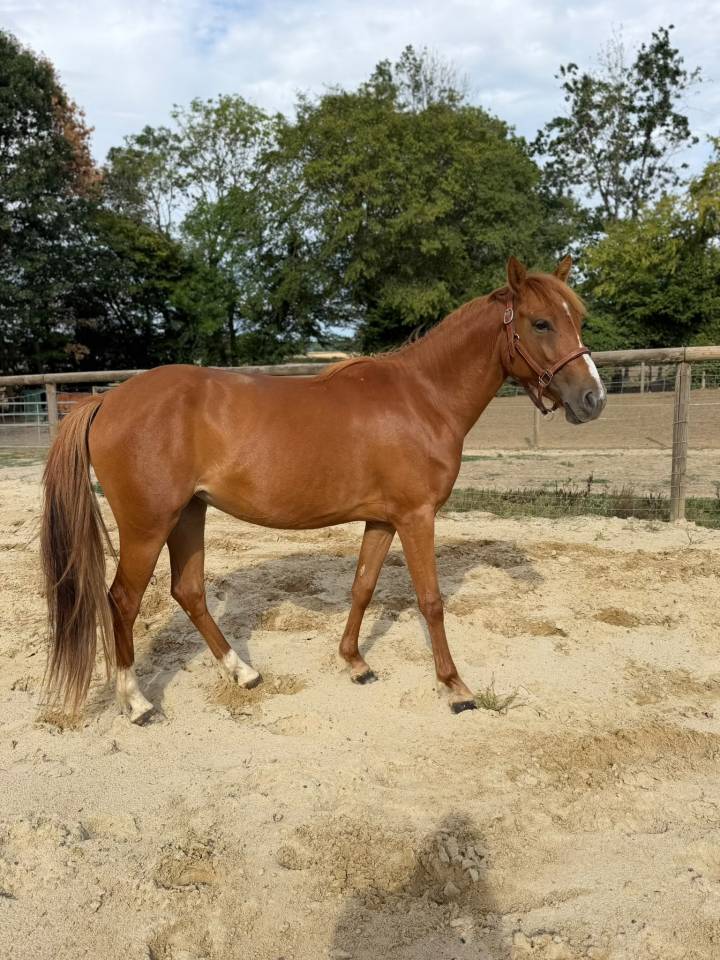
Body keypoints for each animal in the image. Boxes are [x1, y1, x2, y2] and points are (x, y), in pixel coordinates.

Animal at [40, 255, 606, 723]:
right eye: (540, 322)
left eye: (576, 319)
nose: (593, 399)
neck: (424, 398)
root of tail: (107, 400)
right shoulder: (417, 516)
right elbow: (430, 600)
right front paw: (455, 687)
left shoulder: (383, 518)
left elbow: (362, 586)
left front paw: (354, 662)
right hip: (148, 524)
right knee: (122, 600)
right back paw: (136, 701)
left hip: (188, 514)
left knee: (189, 591)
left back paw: (242, 672)